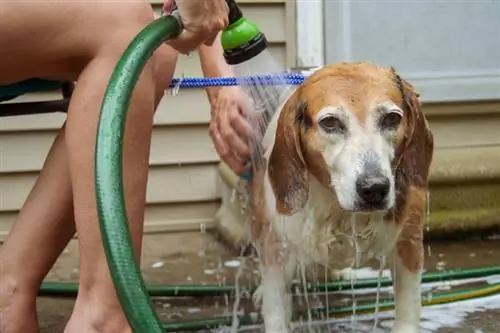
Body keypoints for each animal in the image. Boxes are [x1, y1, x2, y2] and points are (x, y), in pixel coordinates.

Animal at [219, 61, 434, 332]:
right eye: (330, 122)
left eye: (392, 118)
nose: (374, 188)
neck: (336, 206)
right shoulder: (275, 247)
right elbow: (276, 310)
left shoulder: (409, 245)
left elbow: (407, 314)